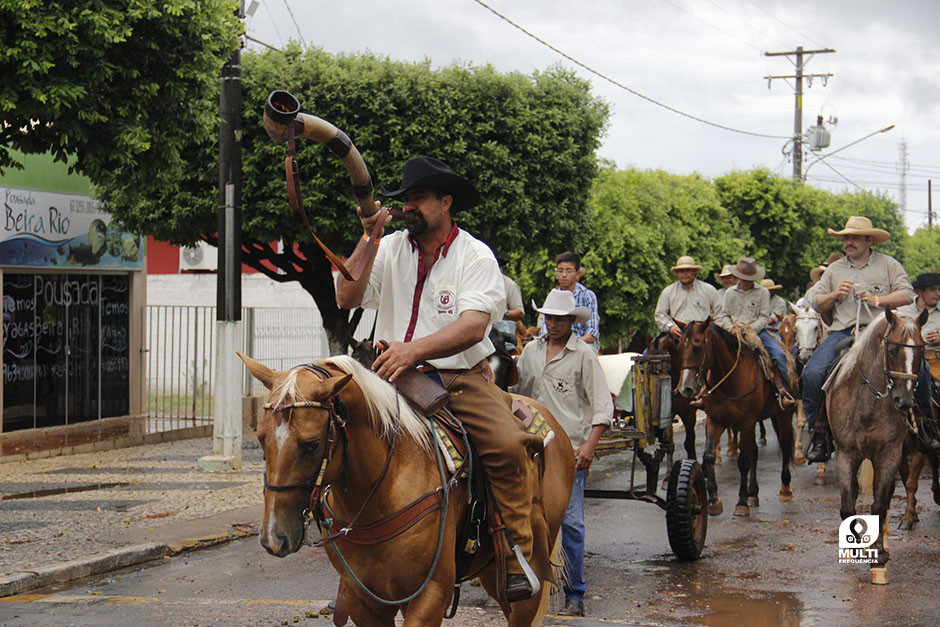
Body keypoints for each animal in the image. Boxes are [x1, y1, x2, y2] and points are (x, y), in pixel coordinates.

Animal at [239, 356, 576, 624]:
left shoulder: (431, 594)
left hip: (526, 582)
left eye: (311, 444)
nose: (274, 538)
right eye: (261, 438)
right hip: (491, 571)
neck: (377, 495)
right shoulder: (365, 601)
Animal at [676, 322, 792, 516]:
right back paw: (754, 493)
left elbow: (743, 461)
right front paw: (713, 500)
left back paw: (785, 489)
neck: (729, 381)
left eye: (697, 346)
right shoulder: (715, 420)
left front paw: (742, 502)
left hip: (783, 415)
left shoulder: (746, 422)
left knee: (784, 445)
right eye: (679, 347)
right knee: (755, 451)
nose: (686, 388)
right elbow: (709, 456)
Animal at [828, 312, 928, 588]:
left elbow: (880, 505)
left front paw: (878, 558)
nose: (904, 401)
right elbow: (847, 506)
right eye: (892, 350)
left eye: (921, 351)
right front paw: (854, 550)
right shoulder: (845, 453)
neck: (867, 407)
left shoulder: (888, 455)